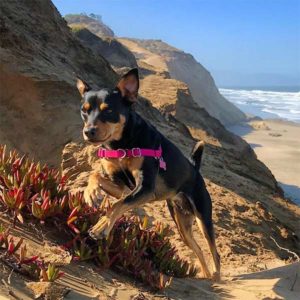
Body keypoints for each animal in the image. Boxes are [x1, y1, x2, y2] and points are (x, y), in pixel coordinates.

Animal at [76, 69, 219, 280]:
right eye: (84, 110)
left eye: (108, 110)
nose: (89, 131)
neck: (122, 143)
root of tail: (195, 169)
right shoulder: (123, 188)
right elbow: (95, 175)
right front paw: (90, 193)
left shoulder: (144, 188)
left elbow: (118, 205)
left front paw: (101, 227)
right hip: (182, 224)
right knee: (199, 249)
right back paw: (207, 277)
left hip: (203, 217)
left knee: (214, 252)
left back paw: (217, 278)